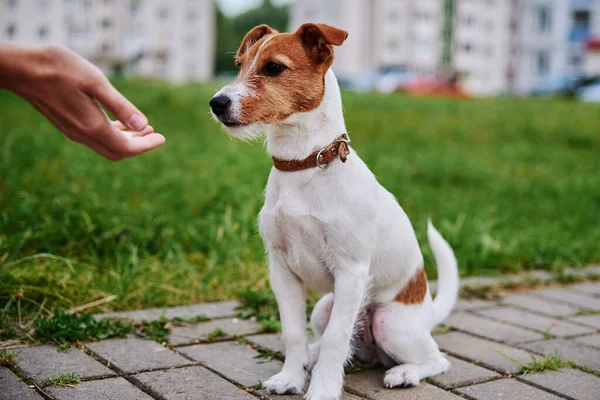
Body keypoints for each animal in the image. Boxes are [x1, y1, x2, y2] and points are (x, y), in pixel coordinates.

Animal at [211, 22, 460, 400]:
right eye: (239, 66)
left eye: (273, 67)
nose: (216, 103)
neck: (304, 166)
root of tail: (428, 311)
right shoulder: (281, 271)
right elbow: (294, 333)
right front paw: (291, 377)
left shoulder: (350, 273)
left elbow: (335, 339)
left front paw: (323, 390)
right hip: (323, 307)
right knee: (337, 344)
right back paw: (312, 359)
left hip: (389, 322)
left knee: (436, 358)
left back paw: (405, 372)